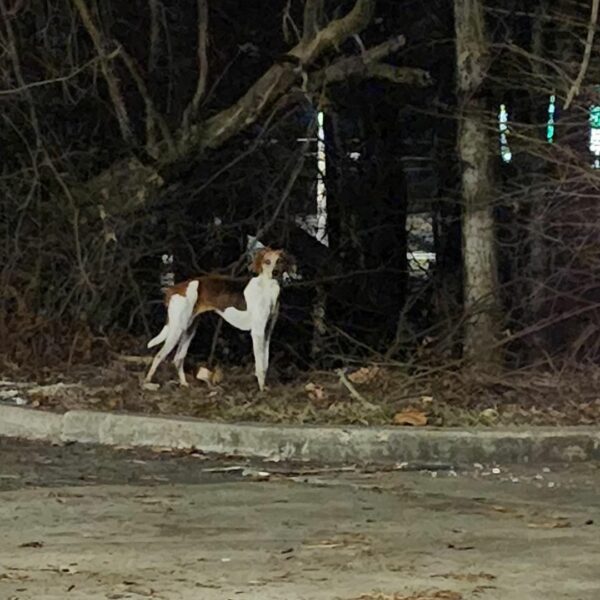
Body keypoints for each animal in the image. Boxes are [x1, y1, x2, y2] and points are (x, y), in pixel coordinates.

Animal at [144, 246, 296, 392]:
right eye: (267, 261)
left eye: (280, 261)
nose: (275, 273)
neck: (267, 289)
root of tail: (173, 290)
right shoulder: (257, 333)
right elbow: (259, 366)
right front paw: (261, 390)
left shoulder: (267, 333)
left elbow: (265, 364)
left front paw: (264, 387)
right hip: (176, 330)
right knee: (159, 356)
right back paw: (147, 383)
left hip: (189, 330)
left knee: (178, 359)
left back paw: (184, 384)